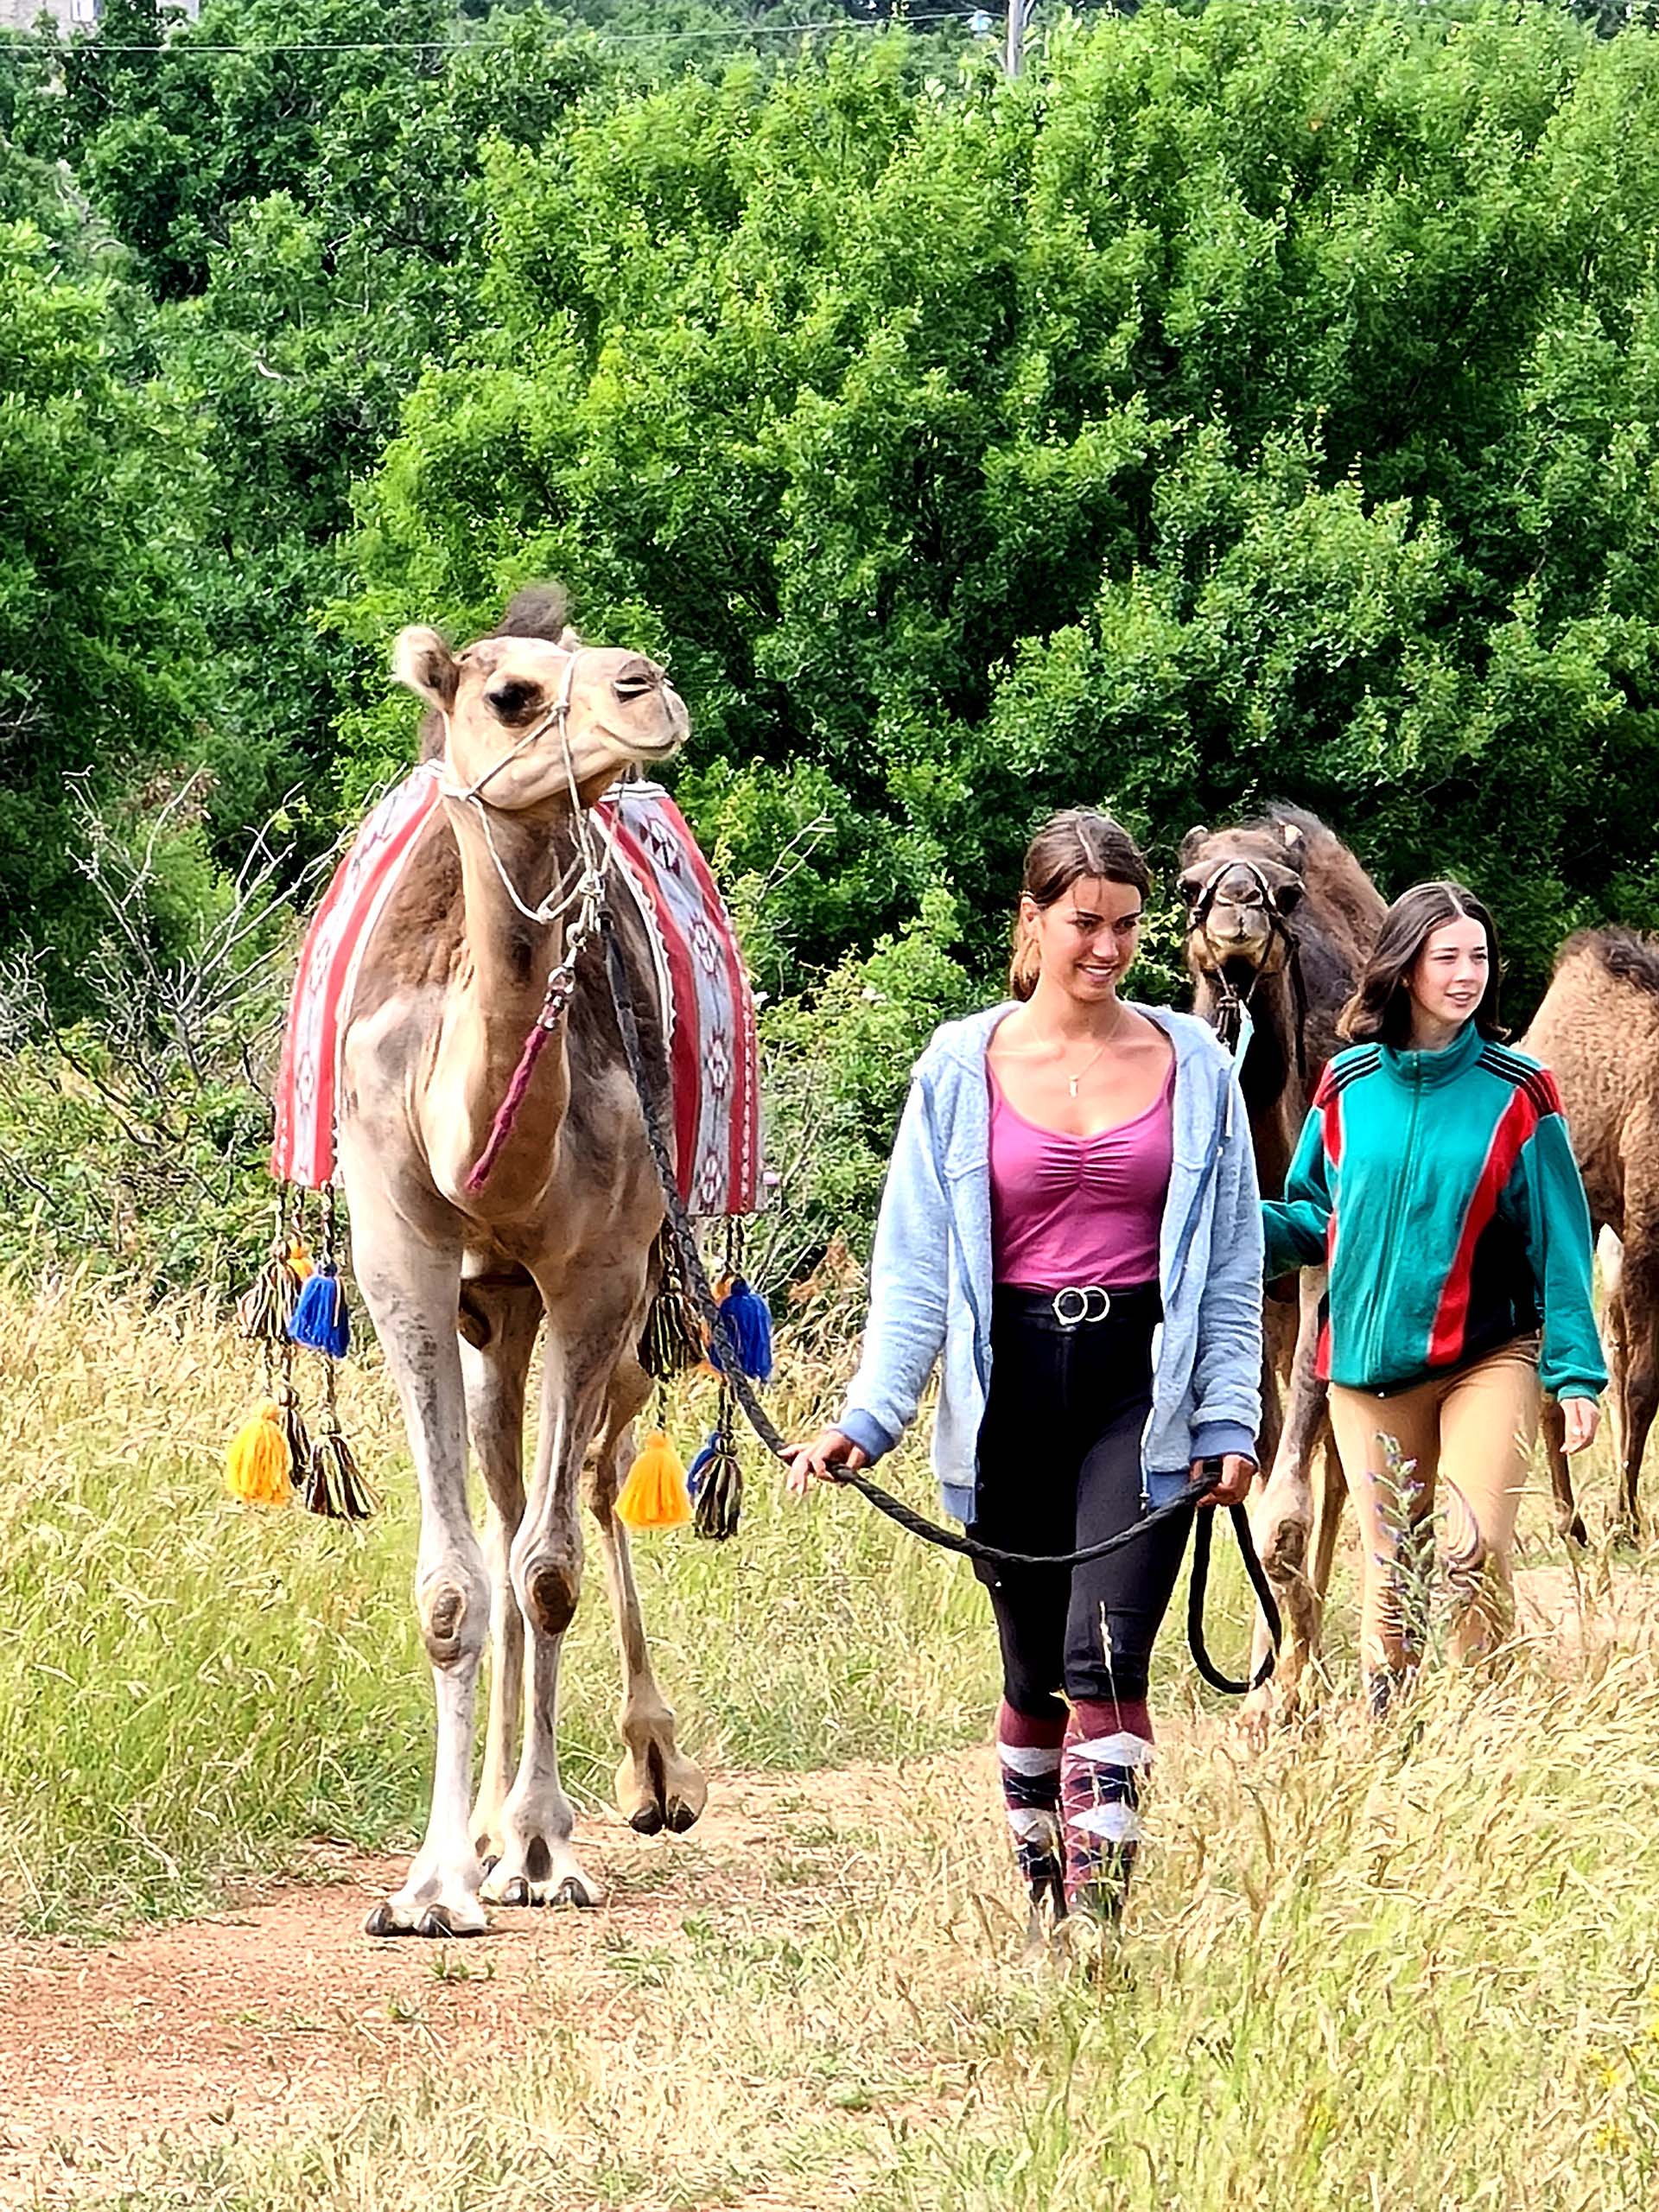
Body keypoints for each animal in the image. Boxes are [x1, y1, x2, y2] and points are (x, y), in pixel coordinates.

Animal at [340, 588, 703, 1937]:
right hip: (492, 1304)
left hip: (631, 1306)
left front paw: (546, 1850)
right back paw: (491, 1824)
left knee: (588, 1486)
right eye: (509, 695)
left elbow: (550, 1574)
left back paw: (646, 1774)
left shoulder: (600, 1270)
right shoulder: (401, 1252)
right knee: (501, 1510)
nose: (649, 689)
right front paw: (437, 1881)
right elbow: (458, 1588)